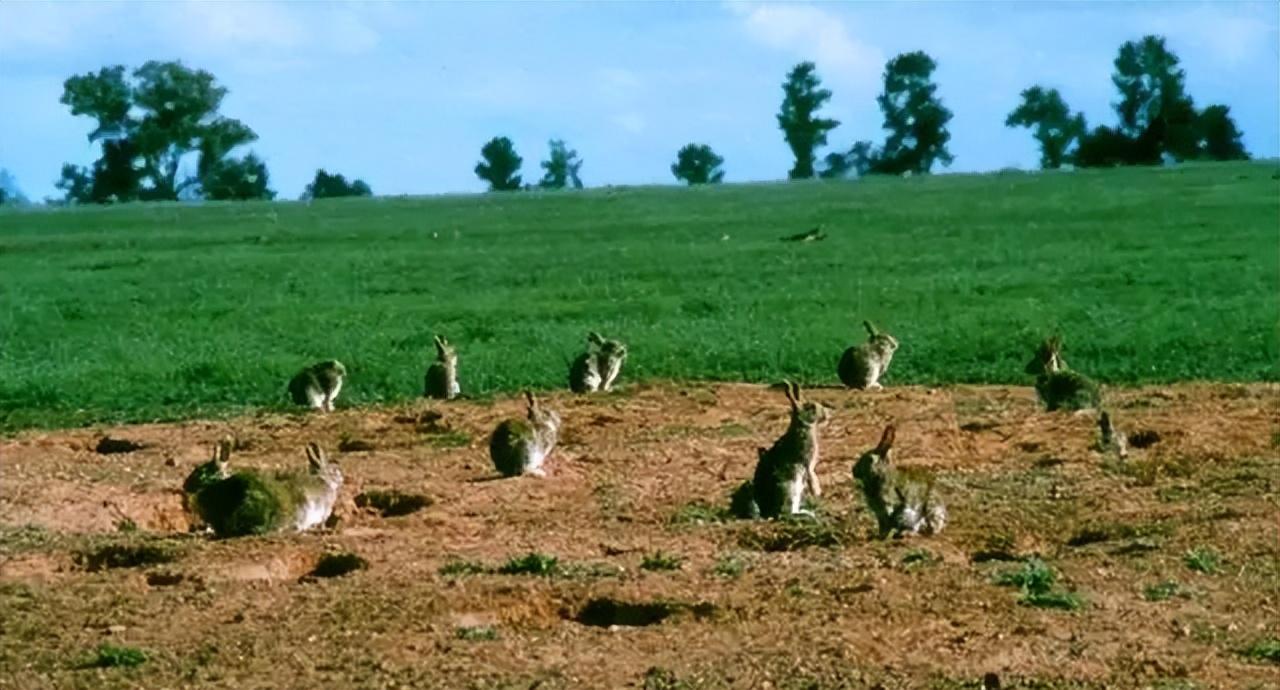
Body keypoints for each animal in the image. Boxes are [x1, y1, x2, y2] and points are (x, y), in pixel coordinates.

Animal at [747, 384, 829, 517]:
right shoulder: (807, 461)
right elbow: (812, 474)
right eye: (811, 407)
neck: (802, 425)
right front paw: (817, 491)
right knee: (786, 513)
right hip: (791, 487)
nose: (827, 413)